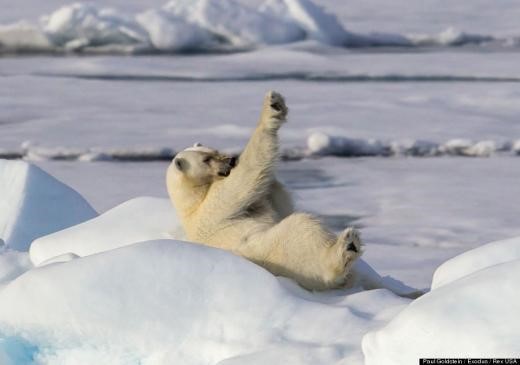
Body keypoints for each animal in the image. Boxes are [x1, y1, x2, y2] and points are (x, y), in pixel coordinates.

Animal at [167, 91, 362, 290]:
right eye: (206, 159)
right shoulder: (213, 207)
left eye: (215, 150)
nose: (231, 160)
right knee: (302, 230)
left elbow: (276, 202)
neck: (192, 204)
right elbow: (244, 177)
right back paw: (347, 246)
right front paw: (272, 108)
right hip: (275, 251)